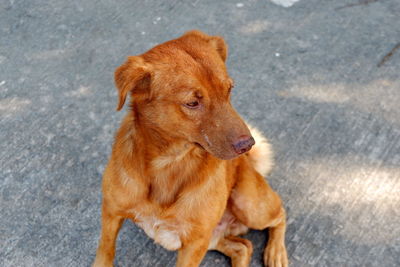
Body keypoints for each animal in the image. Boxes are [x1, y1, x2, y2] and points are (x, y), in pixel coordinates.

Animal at [94, 29, 288, 267]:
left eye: (229, 89)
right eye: (192, 103)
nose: (247, 145)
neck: (169, 163)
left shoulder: (195, 244)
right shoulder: (110, 214)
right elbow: (105, 253)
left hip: (249, 205)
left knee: (280, 214)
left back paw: (276, 252)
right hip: (214, 237)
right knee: (244, 247)